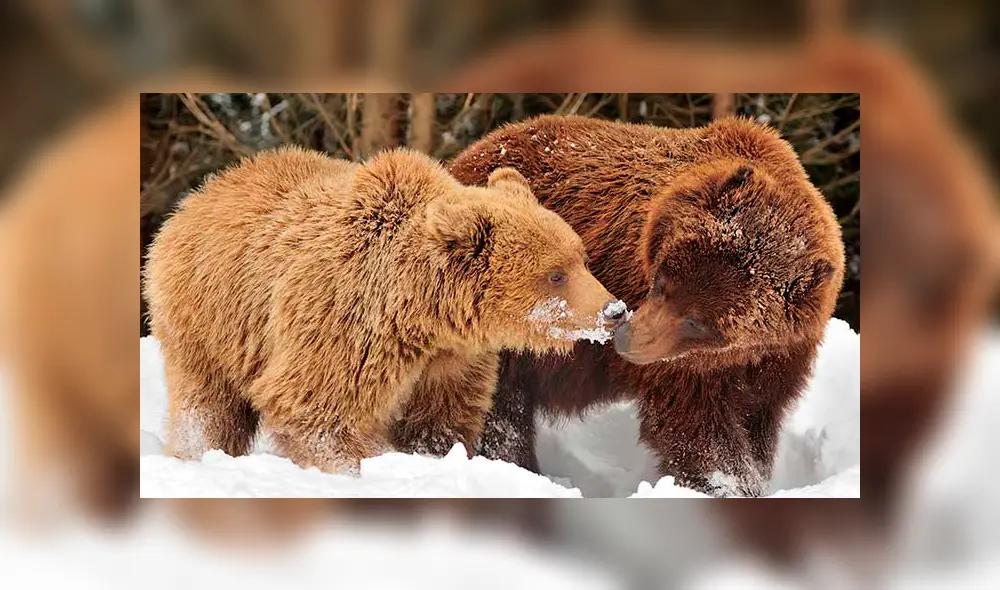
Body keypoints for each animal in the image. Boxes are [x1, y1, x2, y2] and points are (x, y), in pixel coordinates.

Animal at [144, 146, 626, 473]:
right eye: (555, 274)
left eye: (581, 258)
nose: (614, 310)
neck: (421, 314)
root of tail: (200, 194)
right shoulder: (343, 322)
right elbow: (317, 409)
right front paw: (363, 465)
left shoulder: (450, 362)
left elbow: (437, 422)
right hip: (210, 318)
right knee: (208, 405)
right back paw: (198, 455)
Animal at [449, 115, 845, 496]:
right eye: (661, 283)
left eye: (698, 321)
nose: (627, 340)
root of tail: (468, 155)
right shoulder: (684, 367)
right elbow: (697, 428)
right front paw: (727, 484)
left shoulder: (778, 358)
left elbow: (756, 420)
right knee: (497, 406)